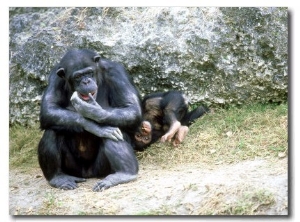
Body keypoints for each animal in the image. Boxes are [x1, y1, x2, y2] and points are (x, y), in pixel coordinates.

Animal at [37, 49, 142, 192]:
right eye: (78, 76)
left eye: (89, 72)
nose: (86, 82)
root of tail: (88, 174)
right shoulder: (54, 78)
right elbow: (49, 108)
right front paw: (95, 126)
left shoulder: (117, 73)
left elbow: (131, 108)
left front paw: (92, 111)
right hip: (74, 169)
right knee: (52, 131)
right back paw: (58, 177)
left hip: (100, 168)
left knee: (114, 130)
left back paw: (124, 174)